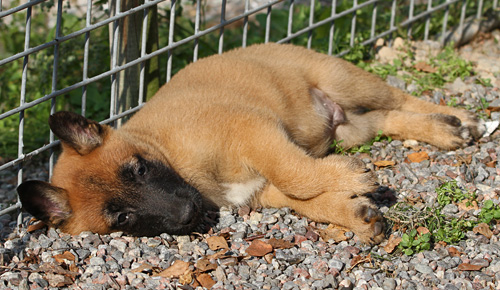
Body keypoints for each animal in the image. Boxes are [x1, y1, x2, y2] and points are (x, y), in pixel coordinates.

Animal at [17, 43, 482, 244]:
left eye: (139, 169)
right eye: (123, 219)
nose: (186, 214)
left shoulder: (255, 131)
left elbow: (294, 173)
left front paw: (349, 179)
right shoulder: (259, 189)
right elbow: (303, 196)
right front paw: (352, 211)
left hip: (343, 79)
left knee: (399, 97)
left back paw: (458, 121)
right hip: (352, 127)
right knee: (388, 118)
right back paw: (442, 129)